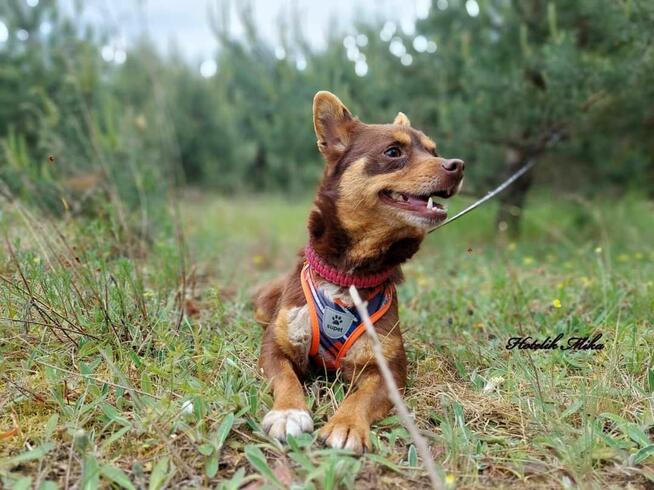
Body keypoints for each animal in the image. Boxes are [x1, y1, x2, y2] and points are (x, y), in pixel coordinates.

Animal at [254, 91, 464, 452]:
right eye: (393, 152)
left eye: (434, 151)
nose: (457, 166)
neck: (348, 275)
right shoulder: (275, 348)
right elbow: (286, 377)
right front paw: (288, 412)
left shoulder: (388, 370)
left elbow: (361, 397)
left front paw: (347, 424)